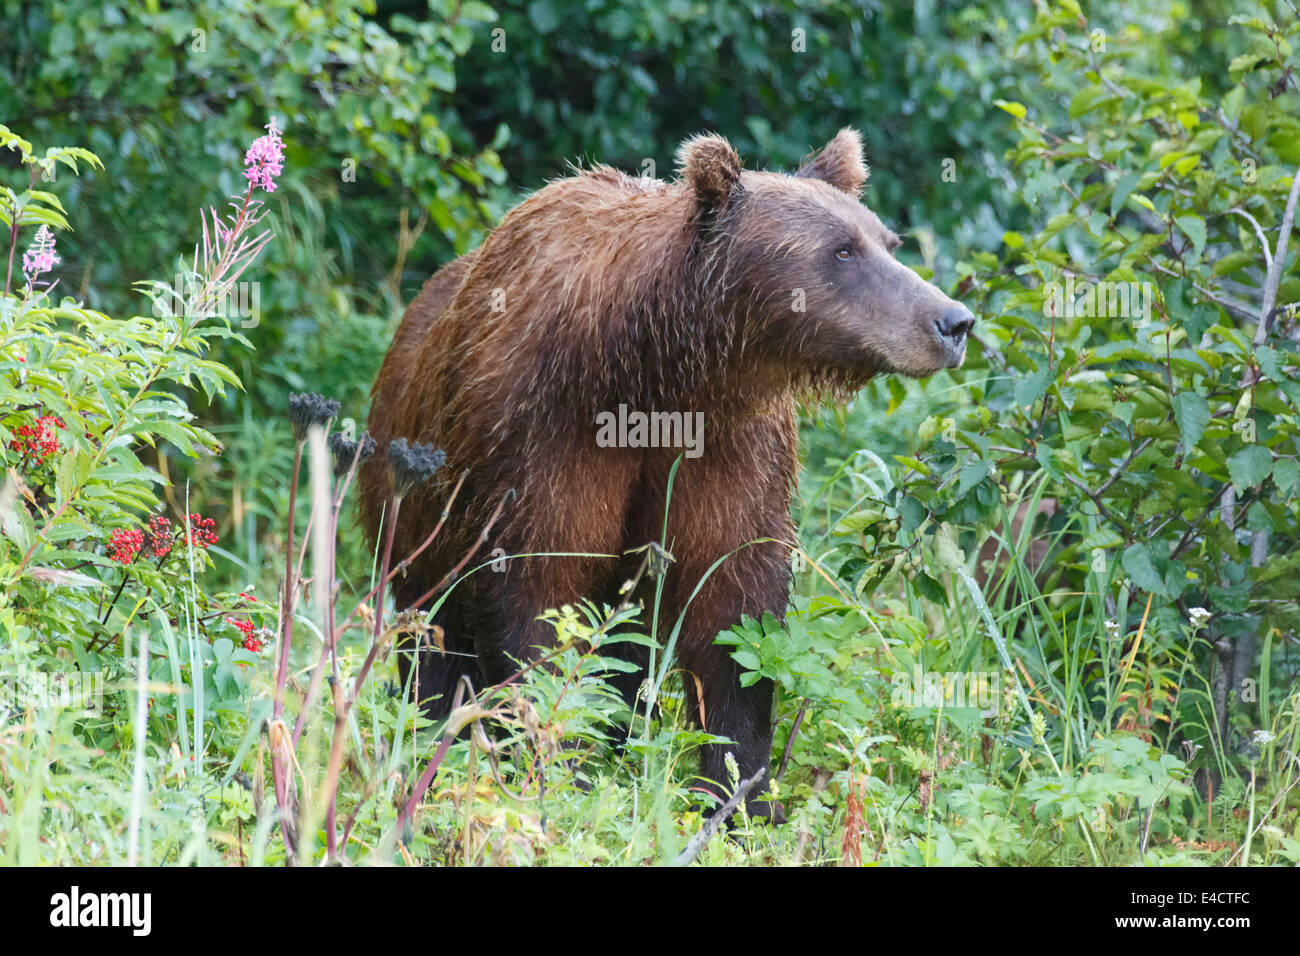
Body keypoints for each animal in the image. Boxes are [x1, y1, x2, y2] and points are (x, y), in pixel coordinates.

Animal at [361, 128, 972, 822]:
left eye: (888, 243)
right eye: (843, 250)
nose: (953, 321)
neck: (654, 370)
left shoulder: (729, 444)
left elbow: (733, 602)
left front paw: (739, 794)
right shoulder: (541, 432)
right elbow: (541, 587)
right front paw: (559, 770)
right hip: (413, 502)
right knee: (431, 636)